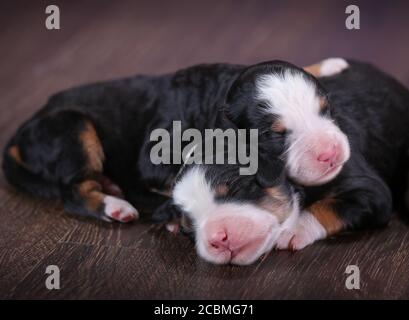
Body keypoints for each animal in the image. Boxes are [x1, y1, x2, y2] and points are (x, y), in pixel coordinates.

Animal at [1, 57, 346, 222]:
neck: (217, 96)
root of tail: (20, 132)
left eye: (326, 109)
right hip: (73, 127)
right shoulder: (154, 157)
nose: (331, 153)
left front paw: (330, 64)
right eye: (273, 135)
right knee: (72, 191)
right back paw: (116, 205)